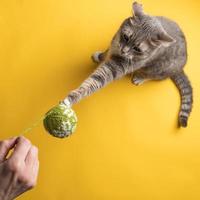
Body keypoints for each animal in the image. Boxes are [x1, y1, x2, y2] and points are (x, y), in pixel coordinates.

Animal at [63, 1, 193, 127]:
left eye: (137, 49)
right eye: (126, 37)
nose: (123, 51)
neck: (117, 49)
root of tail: (182, 67)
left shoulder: (118, 66)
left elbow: (95, 81)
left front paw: (73, 97)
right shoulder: (114, 43)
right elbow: (106, 52)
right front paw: (100, 56)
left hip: (158, 69)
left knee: (152, 76)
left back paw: (140, 77)